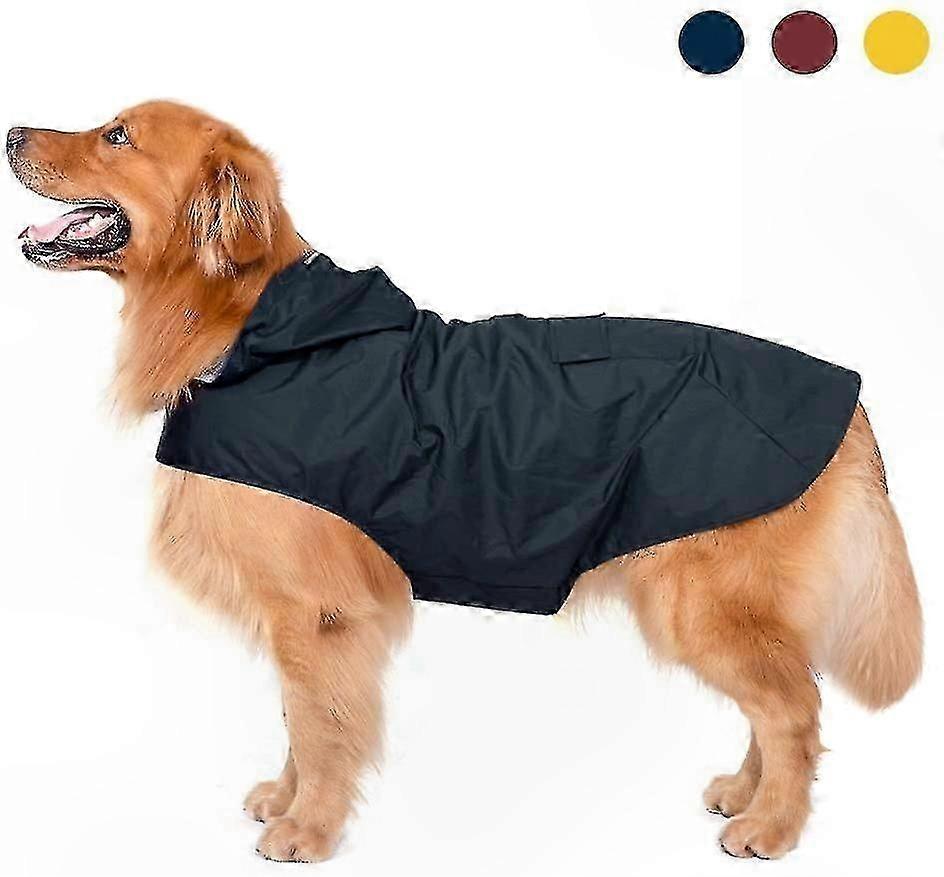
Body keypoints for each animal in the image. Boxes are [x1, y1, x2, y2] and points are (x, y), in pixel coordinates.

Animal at [6, 101, 923, 862]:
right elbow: (300, 718)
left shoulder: (321, 610)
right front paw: (288, 799)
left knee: (795, 710)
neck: (251, 330)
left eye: (117, 135)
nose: (13, 132)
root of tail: (850, 400)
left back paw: (773, 825)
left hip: (703, 601)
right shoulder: (307, 614)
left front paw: (309, 829)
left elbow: (320, 725)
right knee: (778, 700)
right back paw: (745, 791)